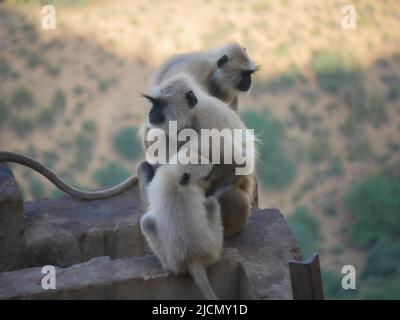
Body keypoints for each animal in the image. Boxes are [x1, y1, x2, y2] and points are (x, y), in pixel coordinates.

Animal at [138, 72, 256, 238]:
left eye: (159, 104)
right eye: (153, 103)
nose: (151, 112)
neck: (190, 118)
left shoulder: (209, 125)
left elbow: (241, 164)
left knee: (229, 191)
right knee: (145, 167)